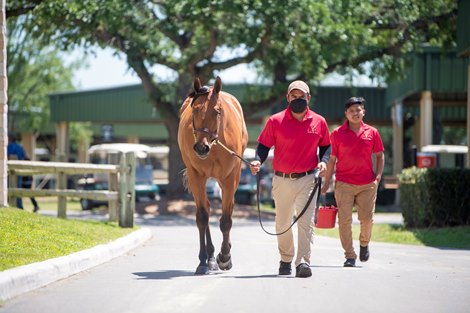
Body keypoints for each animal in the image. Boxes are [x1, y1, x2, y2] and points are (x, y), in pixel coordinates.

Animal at [177, 77, 250, 274]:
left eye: (217, 111)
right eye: (195, 109)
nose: (201, 148)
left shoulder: (229, 178)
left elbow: (226, 220)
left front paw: (225, 257)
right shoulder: (196, 176)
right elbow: (202, 216)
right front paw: (204, 260)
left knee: (227, 210)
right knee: (206, 209)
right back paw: (209, 257)